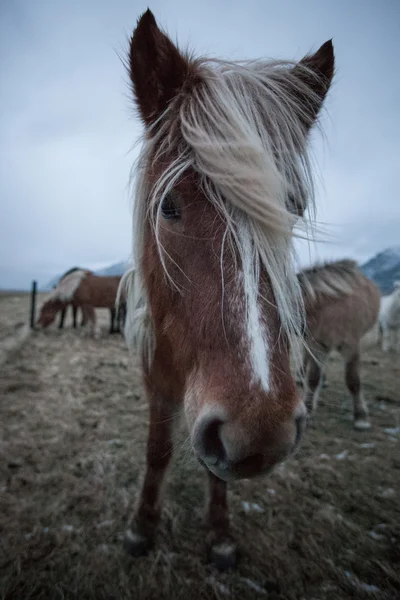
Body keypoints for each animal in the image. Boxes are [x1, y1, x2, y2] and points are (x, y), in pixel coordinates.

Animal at [120, 11, 336, 568]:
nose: (261, 432)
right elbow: (158, 450)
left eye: (292, 207)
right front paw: (141, 527)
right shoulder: (155, 379)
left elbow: (216, 472)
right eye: (168, 205)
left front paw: (218, 532)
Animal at [298, 260, 380, 428]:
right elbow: (313, 378)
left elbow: (353, 380)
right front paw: (308, 407)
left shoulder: (351, 347)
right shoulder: (318, 344)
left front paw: (361, 416)